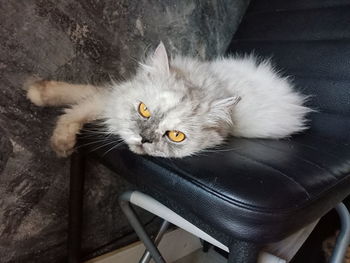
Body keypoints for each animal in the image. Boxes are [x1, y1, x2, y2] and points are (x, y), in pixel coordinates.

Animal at [26, 42, 312, 159]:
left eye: (175, 136)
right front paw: (36, 93)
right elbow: (80, 96)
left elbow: (77, 109)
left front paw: (61, 145)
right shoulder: (111, 96)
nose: (145, 140)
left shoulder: (106, 102)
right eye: (144, 110)